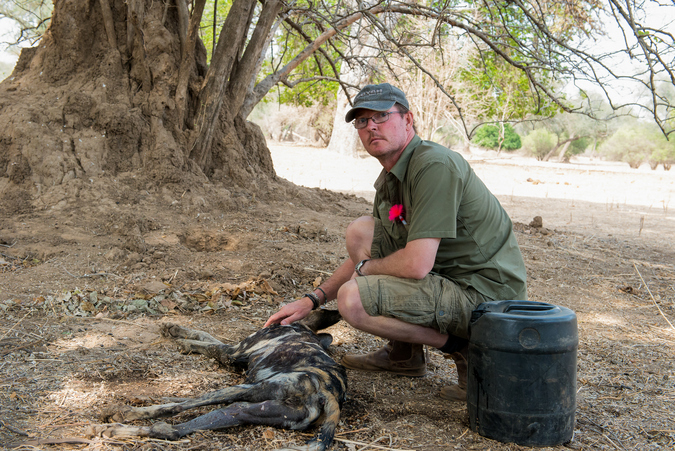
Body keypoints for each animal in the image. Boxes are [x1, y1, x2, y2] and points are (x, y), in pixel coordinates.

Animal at [87, 308, 346, 451]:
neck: (302, 328)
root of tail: (328, 393)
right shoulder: (235, 351)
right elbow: (207, 336)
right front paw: (176, 330)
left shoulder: (233, 352)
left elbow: (208, 342)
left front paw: (181, 339)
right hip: (242, 410)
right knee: (173, 430)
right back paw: (112, 429)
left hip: (247, 388)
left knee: (180, 407)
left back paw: (122, 413)